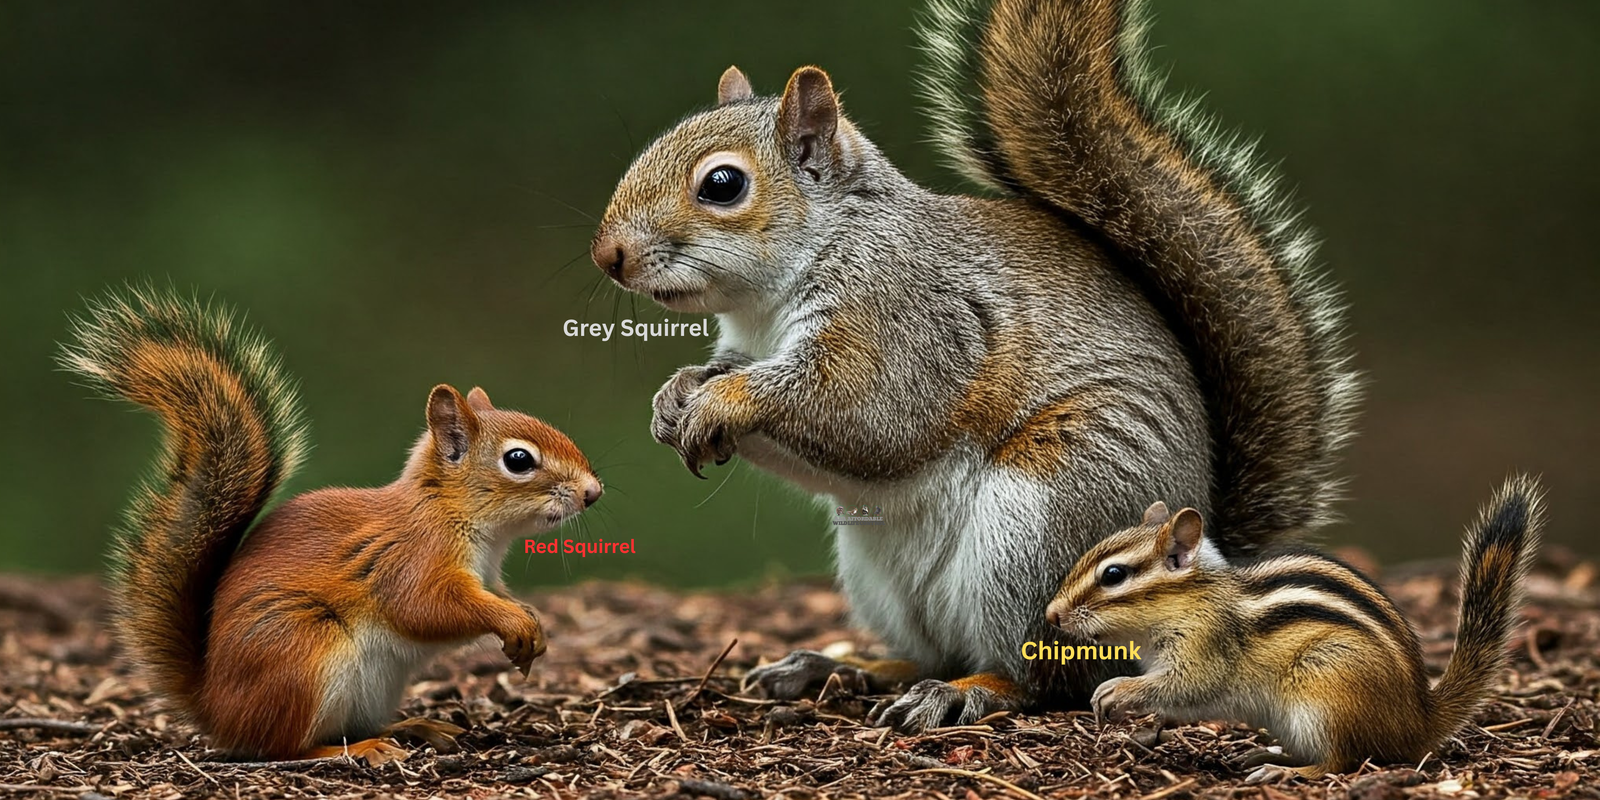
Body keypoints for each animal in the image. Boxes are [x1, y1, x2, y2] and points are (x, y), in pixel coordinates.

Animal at [58, 288, 602, 765]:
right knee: (283, 747)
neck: (457, 516)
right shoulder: (412, 559)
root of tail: (215, 708)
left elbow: (499, 595)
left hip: (370, 688)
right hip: (304, 653)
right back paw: (362, 750)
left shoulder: (486, 575)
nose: (592, 492)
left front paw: (530, 621)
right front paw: (513, 622)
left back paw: (415, 726)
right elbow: (428, 607)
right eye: (518, 460)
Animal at [589, 0, 1356, 730]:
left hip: (1042, 527)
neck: (769, 301)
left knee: (1044, 680)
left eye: (722, 184)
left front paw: (724, 402)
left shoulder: (908, 320)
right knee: (933, 652)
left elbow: (868, 415)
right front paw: (676, 396)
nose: (608, 256)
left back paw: (965, 694)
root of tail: (1203, 555)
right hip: (876, 570)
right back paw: (842, 667)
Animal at [1045, 476, 1543, 783]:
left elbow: (1186, 686)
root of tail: (1417, 720)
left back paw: (1284, 771)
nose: (1051, 616)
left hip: (1327, 689)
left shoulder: (1207, 648)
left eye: (1113, 575)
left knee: (1341, 761)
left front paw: (1116, 691)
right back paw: (1264, 753)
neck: (1191, 601)